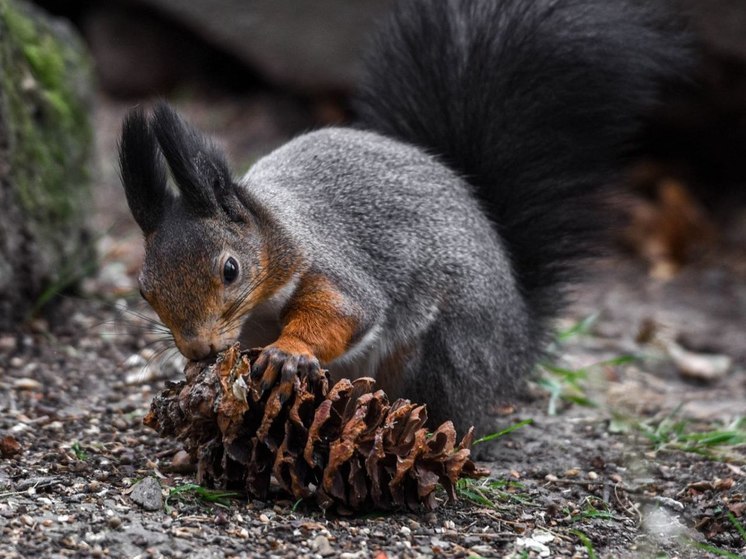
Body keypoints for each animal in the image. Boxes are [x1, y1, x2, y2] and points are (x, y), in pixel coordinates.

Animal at [117, 0, 684, 438]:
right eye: (145, 290)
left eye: (230, 269)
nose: (198, 348)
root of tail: (517, 343)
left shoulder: (330, 264)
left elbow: (345, 311)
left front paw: (289, 352)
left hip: (442, 352)